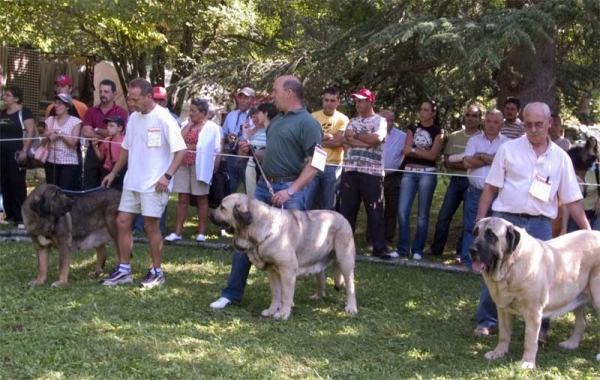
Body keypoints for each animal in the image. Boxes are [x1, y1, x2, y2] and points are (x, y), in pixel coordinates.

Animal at [468, 217, 600, 368]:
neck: (510, 266)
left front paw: (527, 362)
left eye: (490, 236)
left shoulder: (533, 312)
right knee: (581, 321)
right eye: (475, 233)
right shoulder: (503, 310)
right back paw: (571, 343)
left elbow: (530, 340)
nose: (471, 250)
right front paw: (498, 352)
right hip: (575, 295)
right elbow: (504, 334)